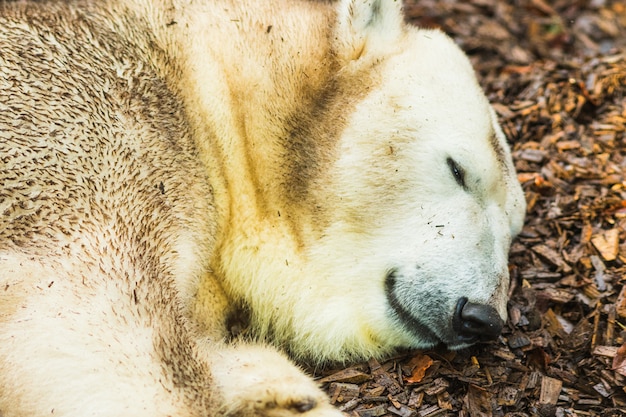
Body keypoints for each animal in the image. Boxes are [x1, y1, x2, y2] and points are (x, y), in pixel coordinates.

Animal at [0, 0, 524, 414]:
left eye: (514, 227)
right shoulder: (95, 138)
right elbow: (94, 323)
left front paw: (279, 393)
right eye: (459, 170)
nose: (483, 317)